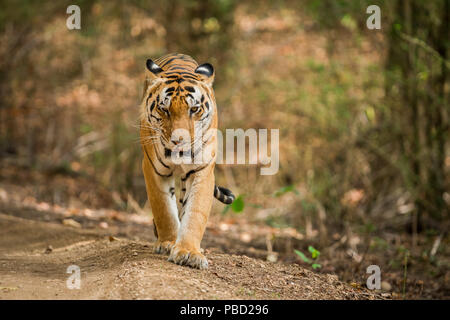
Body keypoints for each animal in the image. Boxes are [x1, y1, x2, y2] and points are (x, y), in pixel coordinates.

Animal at [140, 53, 236, 270]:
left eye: (194, 109)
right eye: (164, 109)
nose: (179, 140)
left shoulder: (202, 171)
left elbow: (195, 213)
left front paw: (188, 252)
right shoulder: (154, 170)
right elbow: (164, 209)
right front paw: (168, 242)